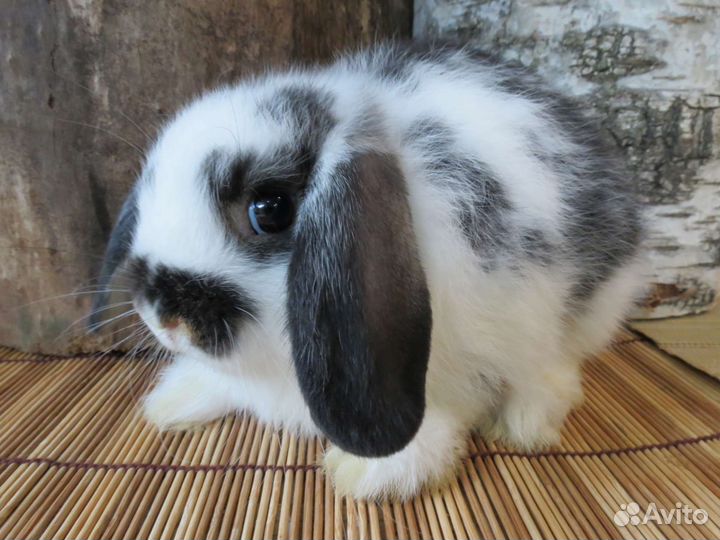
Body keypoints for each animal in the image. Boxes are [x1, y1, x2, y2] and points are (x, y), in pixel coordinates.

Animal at [91, 42, 646, 500]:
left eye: (270, 210)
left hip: (585, 313)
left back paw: (525, 422)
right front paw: (174, 400)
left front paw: (373, 473)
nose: (164, 318)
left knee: (557, 367)